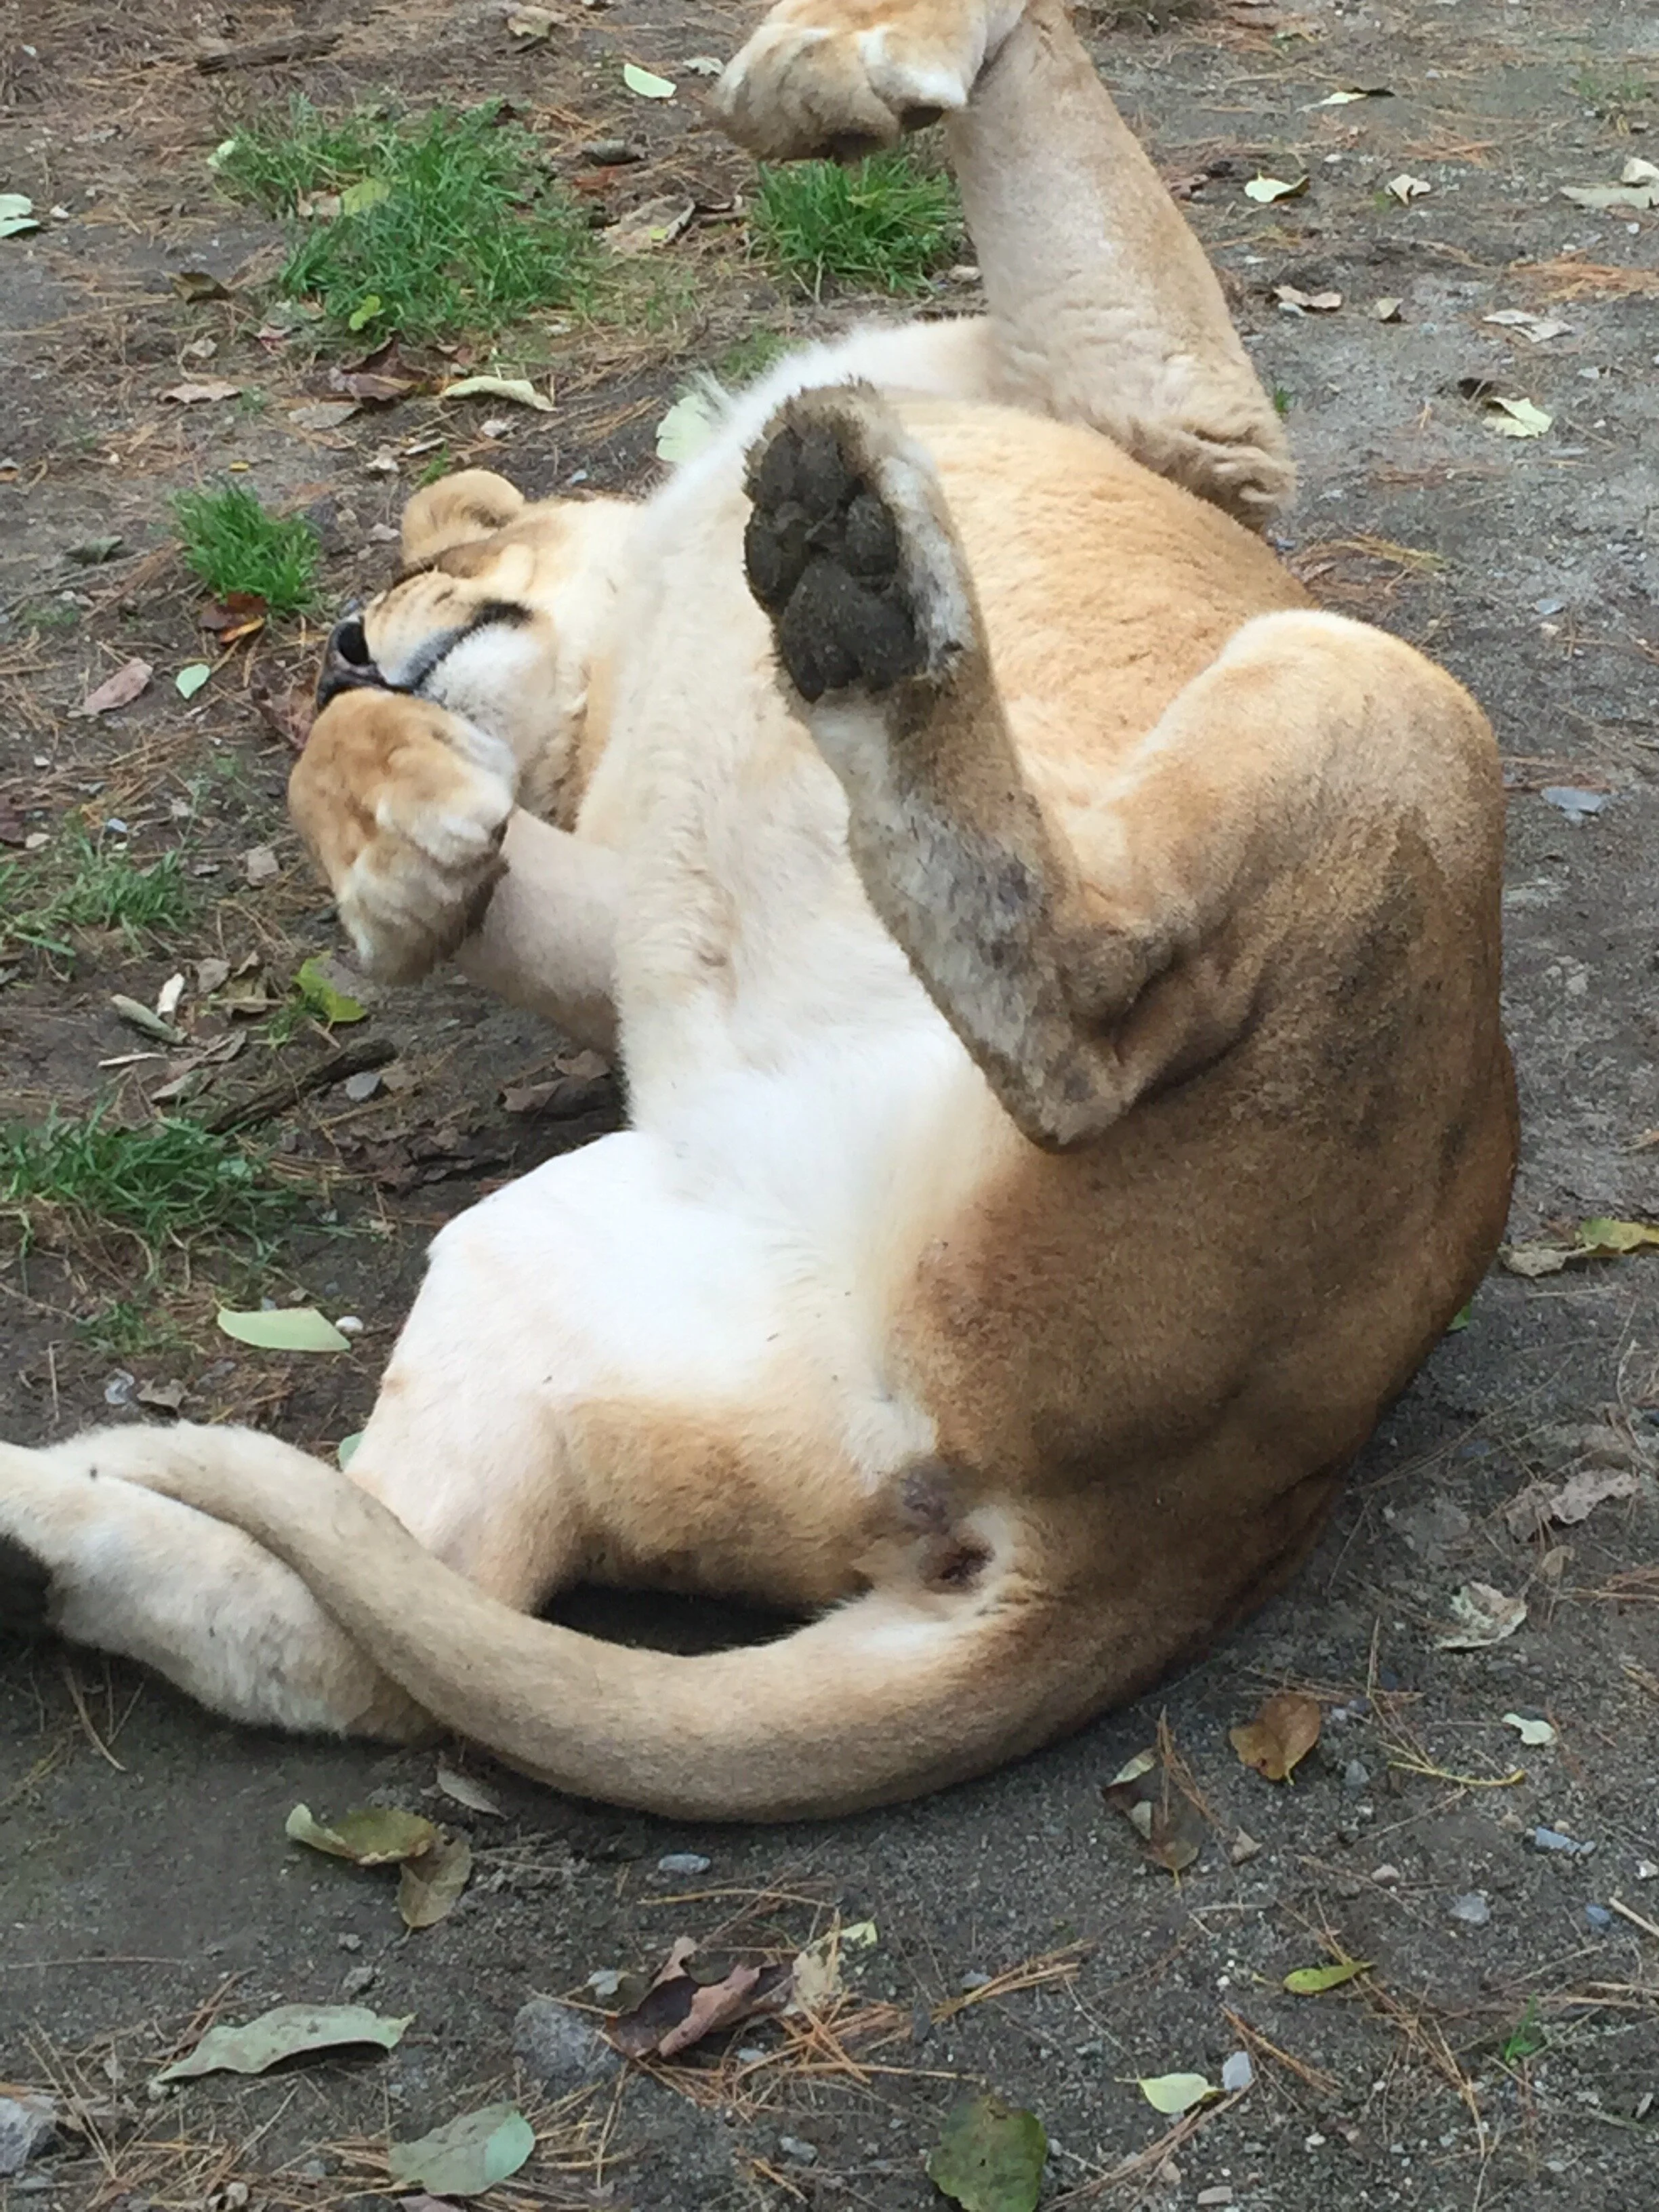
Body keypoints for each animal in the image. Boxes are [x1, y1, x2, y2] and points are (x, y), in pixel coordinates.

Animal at [0, 0, 1517, 1819]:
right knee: (374, 1631)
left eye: (422, 564)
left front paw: (824, 69)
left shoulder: (1180, 422)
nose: (335, 652)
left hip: (1356, 681)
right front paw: (401, 838)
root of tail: (1181, 1527)